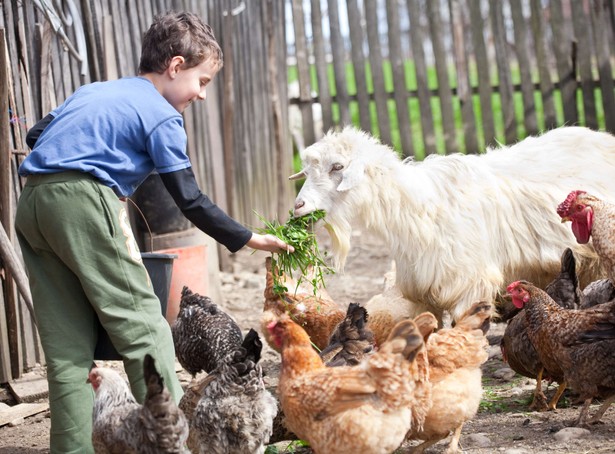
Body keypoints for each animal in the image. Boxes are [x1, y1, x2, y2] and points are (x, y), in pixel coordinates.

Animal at [292, 126, 615, 320]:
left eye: (337, 167)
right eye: (306, 171)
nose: (298, 206)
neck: (416, 206)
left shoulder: (469, 285)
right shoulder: (423, 292)